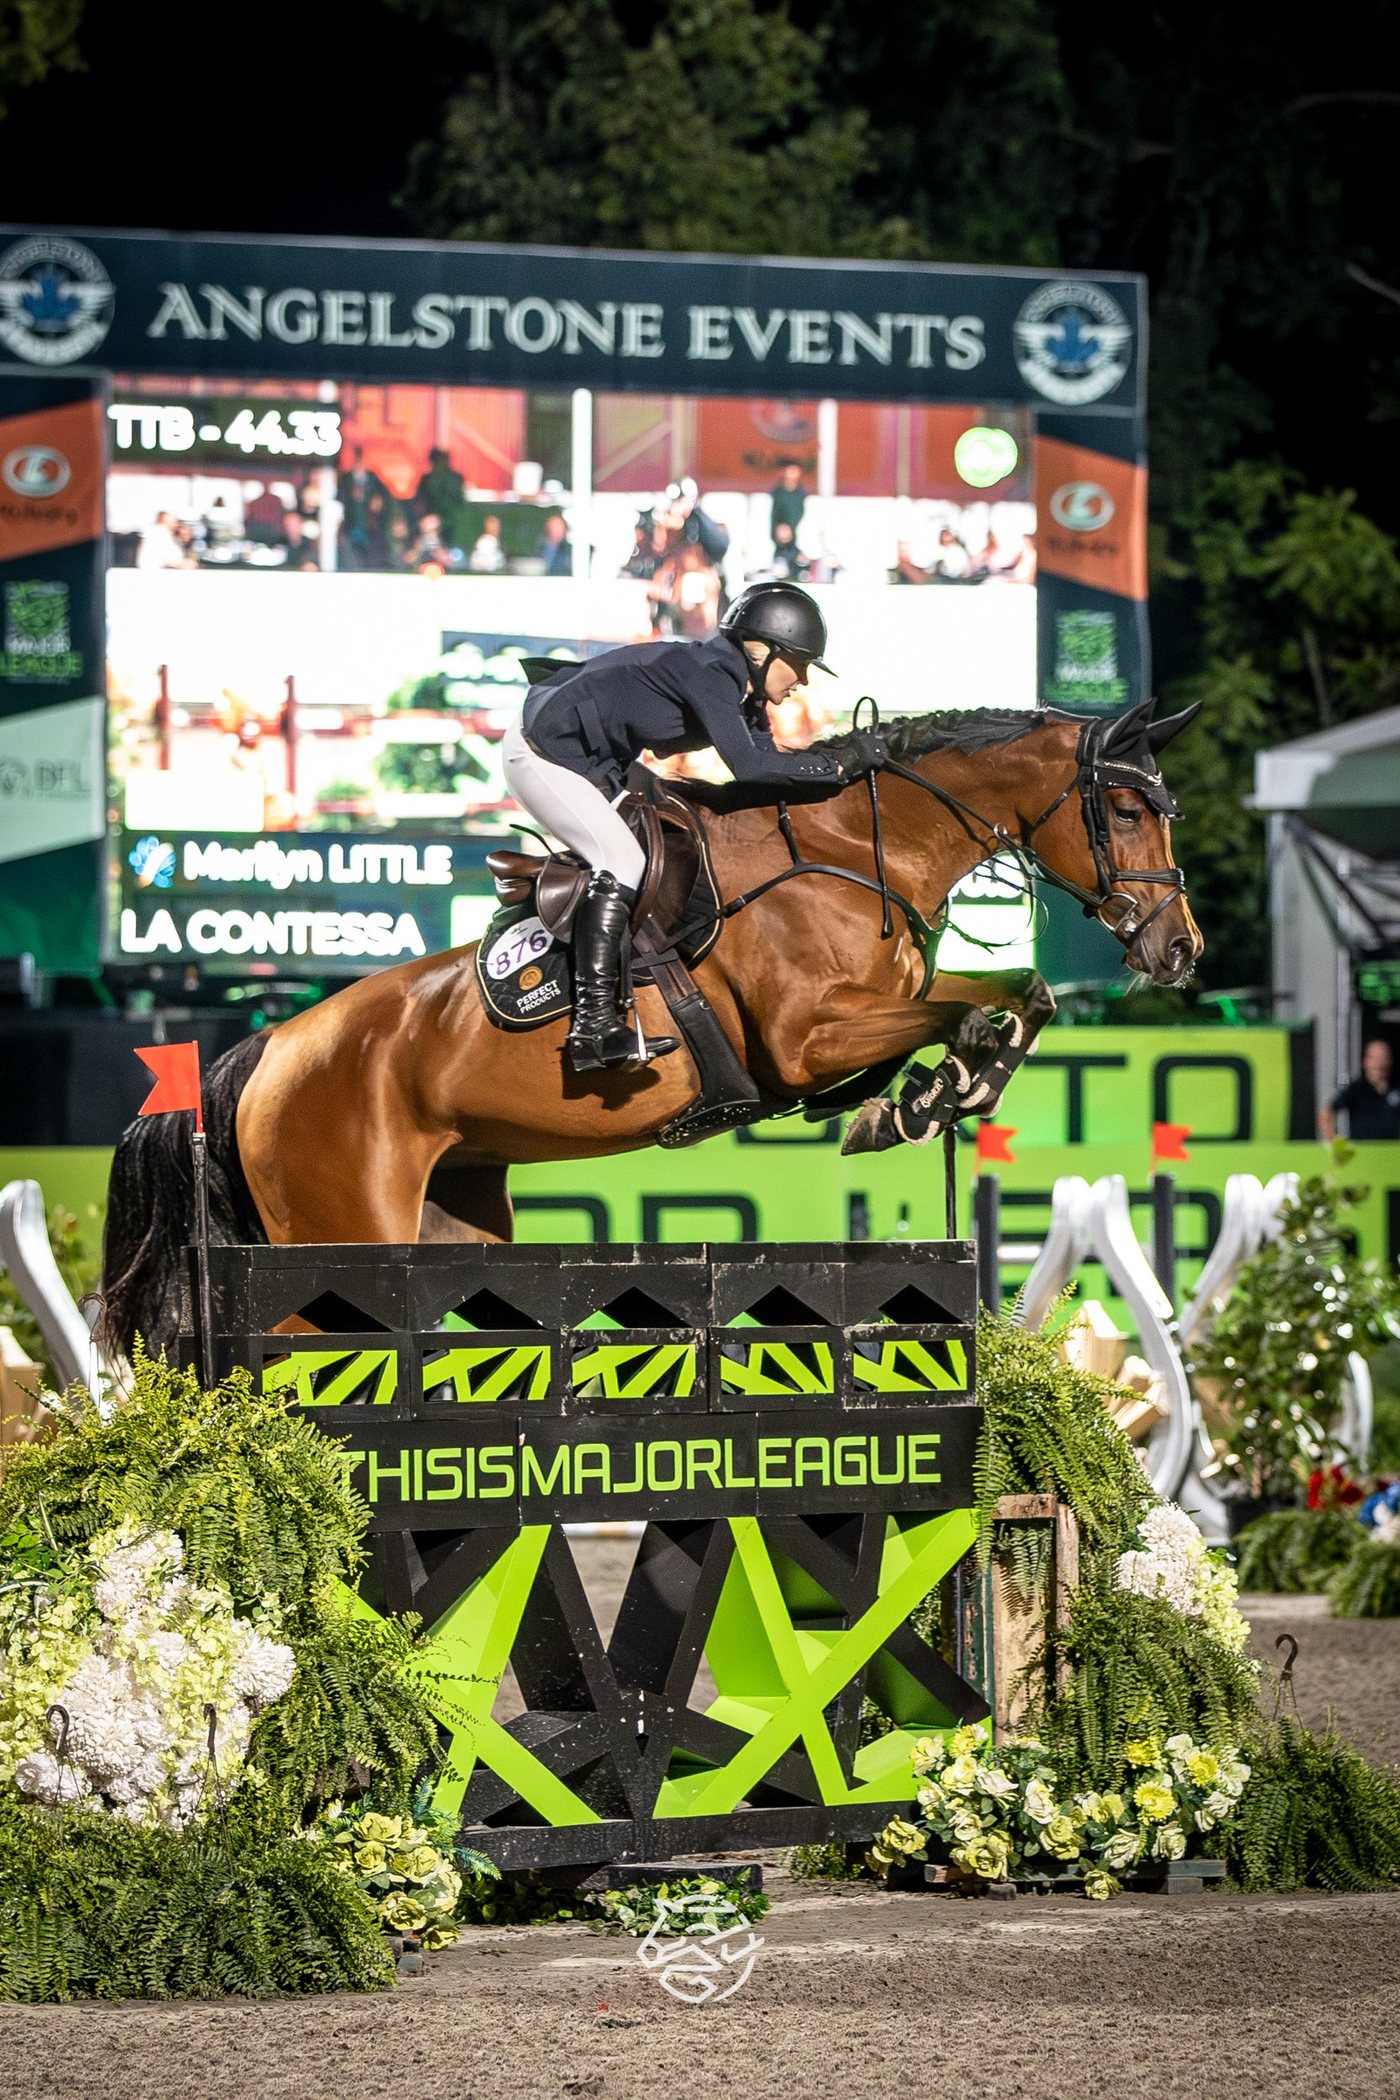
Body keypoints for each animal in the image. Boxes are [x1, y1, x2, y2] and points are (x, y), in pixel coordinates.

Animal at [101, 697, 1201, 1357]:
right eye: (1125, 811)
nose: (1180, 948)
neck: (857, 852)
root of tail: (266, 1050)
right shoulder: (808, 1042)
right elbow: (974, 1007)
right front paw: (924, 1099)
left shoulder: (872, 1012)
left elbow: (1023, 991)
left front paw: (935, 1096)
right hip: (339, 1239)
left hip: (450, 1219)